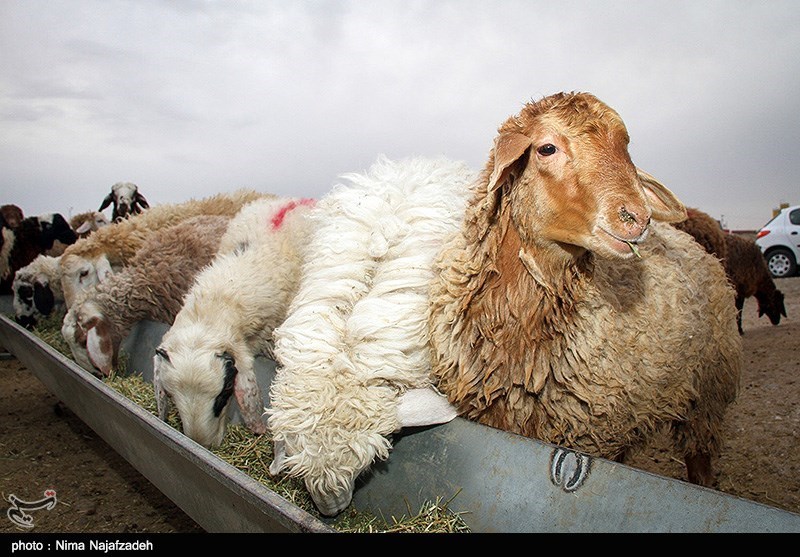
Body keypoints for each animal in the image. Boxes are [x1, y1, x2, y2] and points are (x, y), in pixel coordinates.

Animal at [432, 92, 744, 490]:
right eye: (546, 148)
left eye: (626, 149)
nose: (637, 217)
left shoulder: (588, 432)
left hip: (706, 393)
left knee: (699, 456)